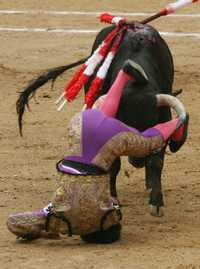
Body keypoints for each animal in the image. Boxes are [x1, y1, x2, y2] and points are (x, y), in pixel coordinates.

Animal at [16, 22, 187, 217]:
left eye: (151, 125)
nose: (137, 161)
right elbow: (113, 165)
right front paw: (111, 199)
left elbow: (156, 162)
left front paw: (156, 202)